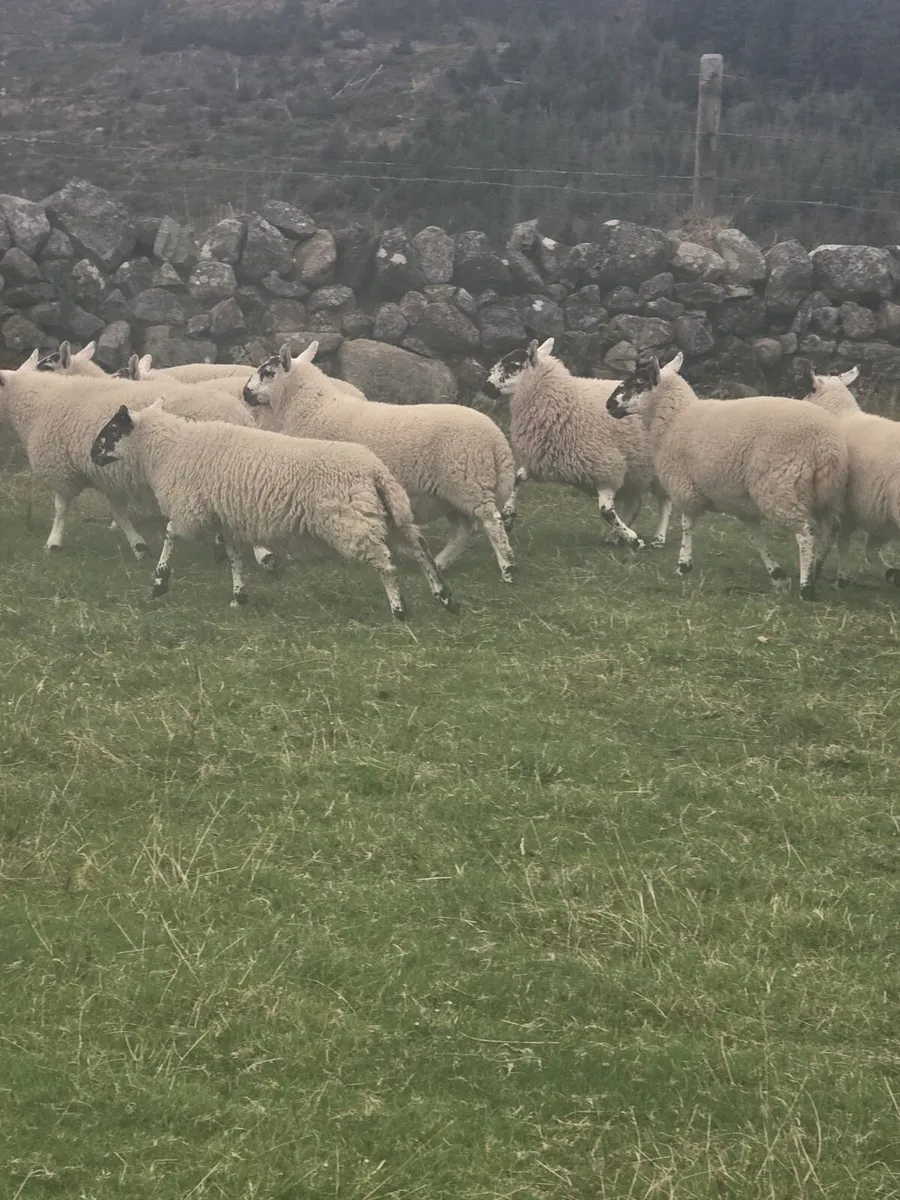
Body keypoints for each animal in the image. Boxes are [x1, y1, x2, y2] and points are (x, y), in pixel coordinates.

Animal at [89, 400, 458, 620]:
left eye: (112, 429)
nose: (92, 455)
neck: (167, 449)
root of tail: (375, 470)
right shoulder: (225, 518)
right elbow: (235, 557)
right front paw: (239, 597)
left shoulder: (190, 509)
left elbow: (168, 535)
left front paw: (159, 583)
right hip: (384, 513)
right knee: (419, 546)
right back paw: (444, 597)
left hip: (350, 521)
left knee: (386, 562)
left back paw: (400, 609)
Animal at [242, 340, 517, 583]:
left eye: (267, 372)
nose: (245, 393)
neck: (313, 408)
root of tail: (497, 440)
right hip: (450, 492)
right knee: (463, 531)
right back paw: (441, 562)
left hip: (468, 482)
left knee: (492, 522)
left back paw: (506, 569)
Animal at [483, 337, 672, 549]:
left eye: (513, 365)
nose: (486, 387)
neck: (561, 401)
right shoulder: (540, 457)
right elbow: (517, 479)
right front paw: (508, 517)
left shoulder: (607, 468)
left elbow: (606, 511)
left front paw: (634, 539)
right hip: (636, 469)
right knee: (634, 503)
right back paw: (614, 537)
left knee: (665, 502)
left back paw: (658, 538)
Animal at [605, 354, 849, 600]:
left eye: (638, 384)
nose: (609, 405)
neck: (675, 419)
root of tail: (826, 444)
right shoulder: (742, 503)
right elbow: (756, 538)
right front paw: (778, 575)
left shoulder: (684, 486)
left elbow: (687, 524)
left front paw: (683, 565)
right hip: (828, 495)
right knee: (830, 532)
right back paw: (816, 570)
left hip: (779, 489)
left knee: (806, 535)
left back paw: (807, 587)